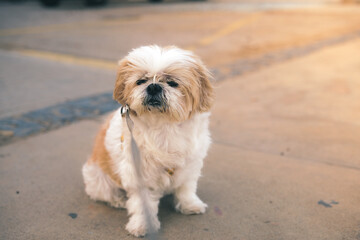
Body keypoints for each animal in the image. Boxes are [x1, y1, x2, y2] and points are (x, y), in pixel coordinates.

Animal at [81, 45, 214, 236]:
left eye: (172, 83)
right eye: (141, 81)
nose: (153, 87)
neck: (164, 126)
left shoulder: (190, 165)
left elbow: (186, 188)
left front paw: (190, 205)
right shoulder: (139, 175)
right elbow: (142, 204)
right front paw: (143, 224)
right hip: (98, 177)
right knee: (105, 193)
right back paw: (118, 200)